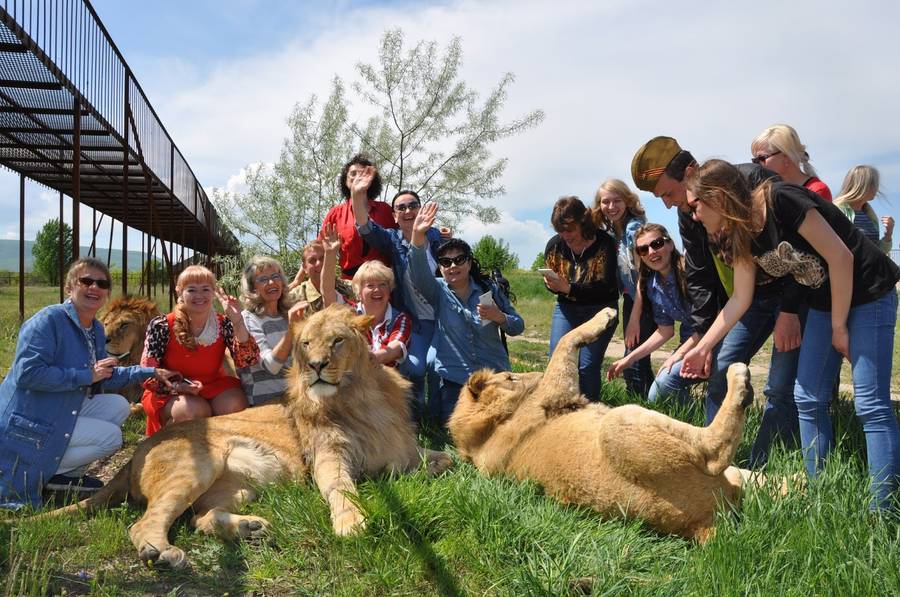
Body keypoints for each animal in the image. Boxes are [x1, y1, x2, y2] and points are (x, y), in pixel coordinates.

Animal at [39, 304, 454, 564]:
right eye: (306, 344)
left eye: (337, 341)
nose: (316, 366)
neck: (359, 397)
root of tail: (136, 454)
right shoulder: (328, 456)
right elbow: (342, 489)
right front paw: (352, 523)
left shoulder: (403, 450)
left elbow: (447, 459)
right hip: (196, 466)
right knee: (144, 523)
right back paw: (163, 552)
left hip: (245, 486)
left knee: (198, 518)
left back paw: (249, 528)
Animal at [446, 310, 764, 544]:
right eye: (510, 377)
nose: (534, 374)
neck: (487, 432)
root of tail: (702, 525)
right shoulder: (555, 390)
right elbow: (564, 340)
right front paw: (605, 316)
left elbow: (564, 343)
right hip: (620, 422)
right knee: (715, 450)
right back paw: (739, 381)